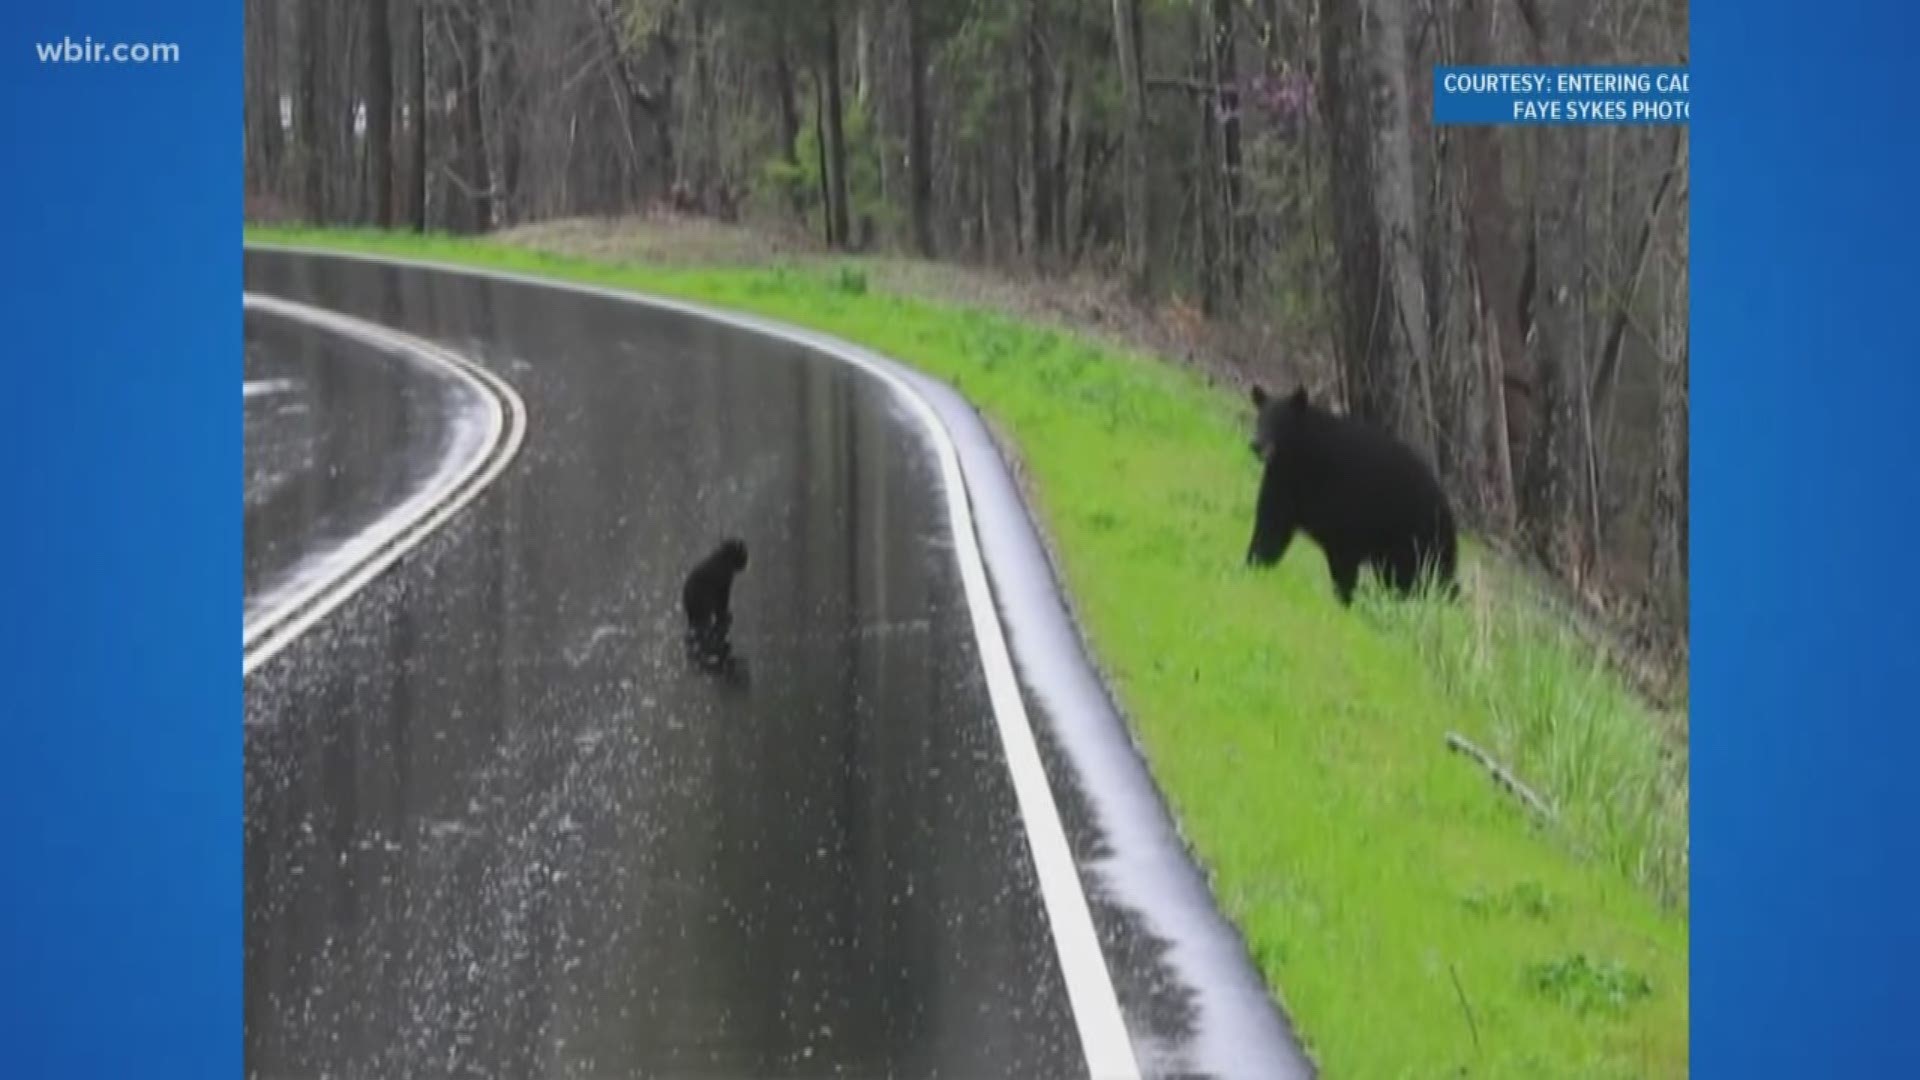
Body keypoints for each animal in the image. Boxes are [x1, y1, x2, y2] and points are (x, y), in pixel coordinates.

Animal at [1244, 384, 1451, 607]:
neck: (1301, 456)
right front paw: (1251, 566)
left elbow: (1343, 558)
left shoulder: (1345, 503)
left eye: (1280, 421)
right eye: (1260, 419)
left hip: (1415, 537)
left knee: (1419, 576)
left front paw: (1344, 601)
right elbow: (1272, 528)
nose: (1256, 444)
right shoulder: (1284, 485)